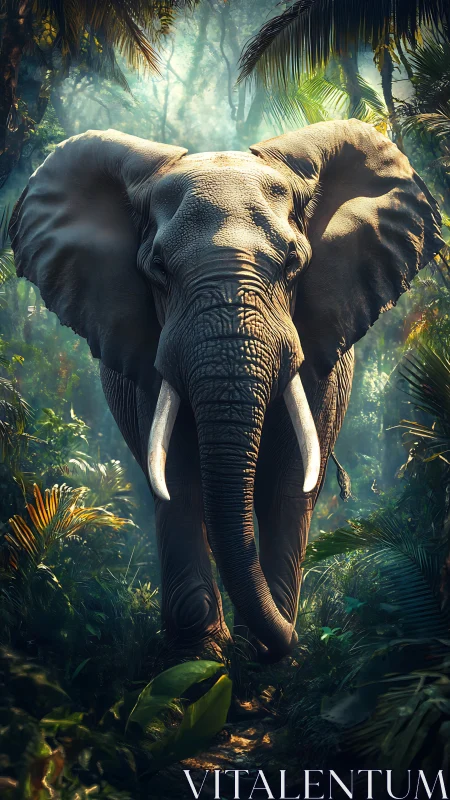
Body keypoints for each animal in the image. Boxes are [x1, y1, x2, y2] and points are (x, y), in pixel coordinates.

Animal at [9, 119, 442, 664]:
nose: (290, 640)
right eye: (158, 269)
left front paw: (270, 656)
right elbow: (176, 473)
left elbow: (289, 481)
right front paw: (200, 658)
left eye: (294, 265)